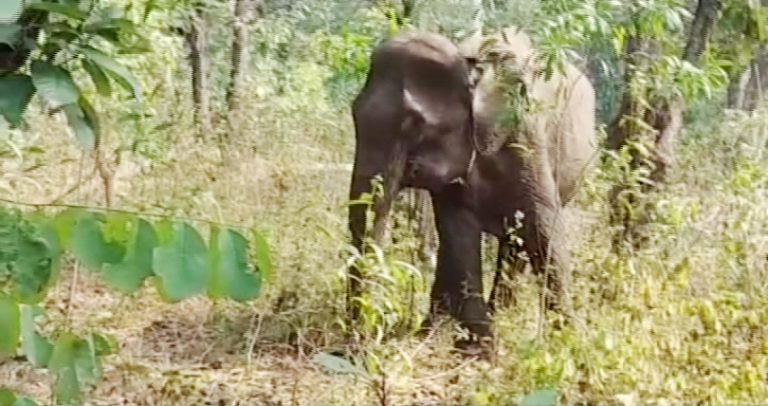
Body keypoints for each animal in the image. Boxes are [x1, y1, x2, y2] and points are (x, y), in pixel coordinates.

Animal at [347, 27, 596, 358]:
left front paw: (569, 344)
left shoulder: (525, 134)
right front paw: (476, 351)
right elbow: (459, 232)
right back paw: (433, 328)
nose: (355, 349)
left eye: (415, 124)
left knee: (514, 243)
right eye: (353, 112)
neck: (469, 63)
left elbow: (542, 226)